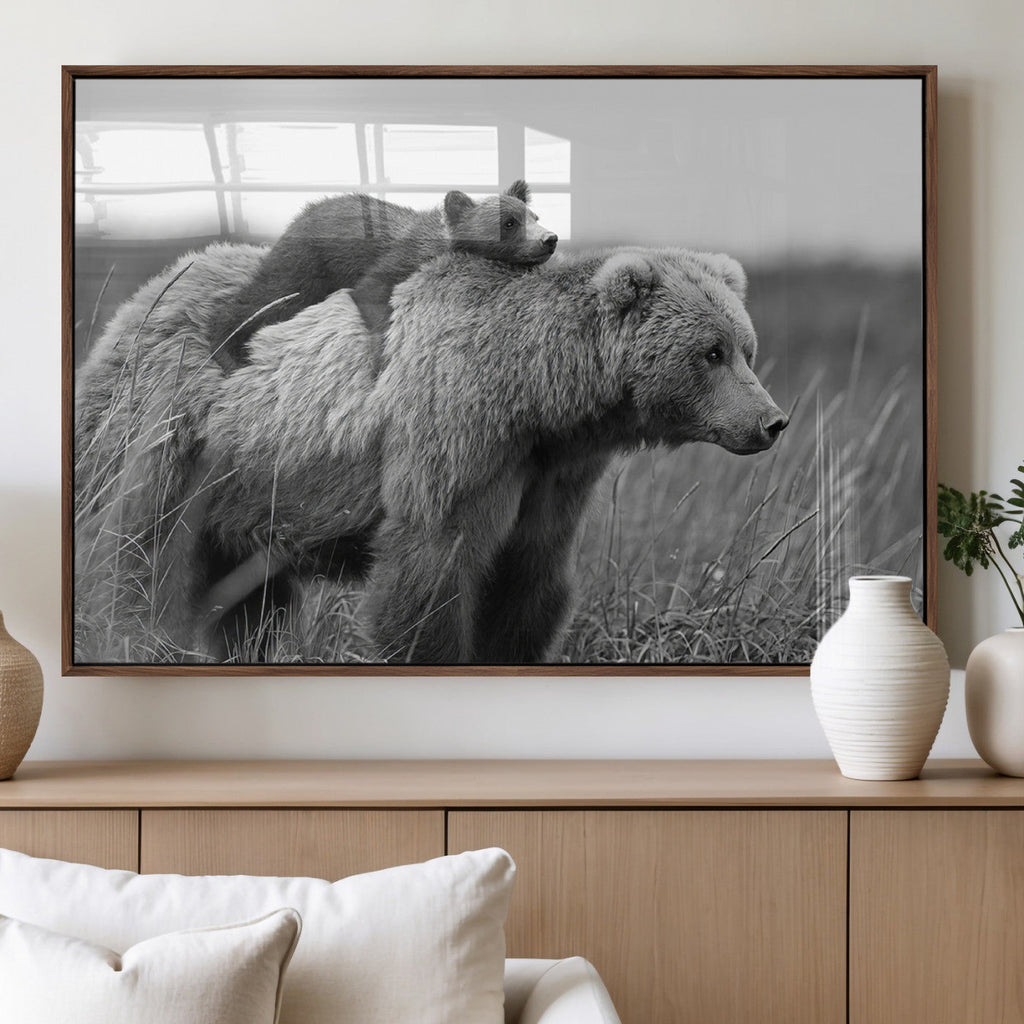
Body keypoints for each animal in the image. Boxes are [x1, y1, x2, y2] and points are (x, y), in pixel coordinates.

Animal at [73, 242, 788, 665]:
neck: (537, 393)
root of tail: (147, 291)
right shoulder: (456, 434)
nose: (772, 420)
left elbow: (529, 577)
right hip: (172, 431)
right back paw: (130, 635)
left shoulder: (551, 472)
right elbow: (431, 569)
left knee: (249, 595)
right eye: (712, 352)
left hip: (250, 489)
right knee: (138, 550)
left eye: (746, 347)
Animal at [208, 181, 557, 372]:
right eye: (509, 222)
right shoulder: (395, 261)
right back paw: (228, 351)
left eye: (534, 215)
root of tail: (299, 214)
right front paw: (381, 358)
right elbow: (372, 292)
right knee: (267, 296)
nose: (550, 238)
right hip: (305, 265)